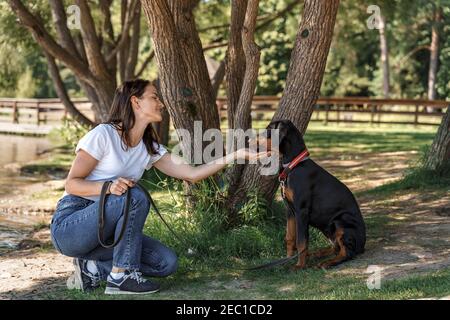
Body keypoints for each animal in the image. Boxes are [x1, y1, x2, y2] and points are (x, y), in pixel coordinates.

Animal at [256, 120, 366, 270]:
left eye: (268, 130)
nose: (247, 140)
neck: (294, 165)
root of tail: (363, 243)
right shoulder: (290, 210)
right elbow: (290, 237)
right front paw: (288, 259)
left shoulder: (301, 211)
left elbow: (301, 241)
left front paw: (299, 265)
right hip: (328, 228)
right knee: (336, 247)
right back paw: (316, 253)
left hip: (341, 222)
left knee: (347, 252)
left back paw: (327, 262)